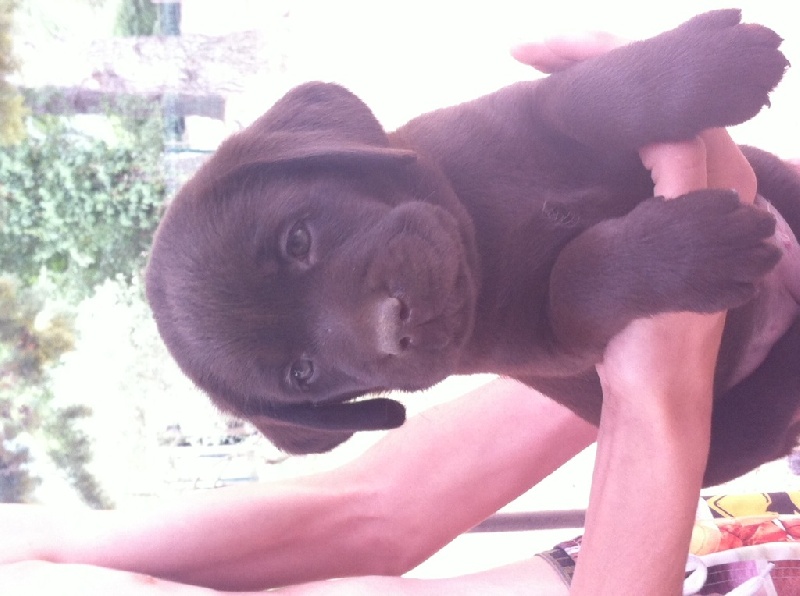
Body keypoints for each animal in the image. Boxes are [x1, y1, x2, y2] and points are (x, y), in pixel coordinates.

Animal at [146, 10, 800, 486]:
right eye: (303, 373)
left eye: (298, 240)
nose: (396, 326)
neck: (481, 232)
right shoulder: (551, 338)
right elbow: (577, 276)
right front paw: (697, 248)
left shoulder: (518, 111)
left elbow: (584, 98)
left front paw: (713, 65)